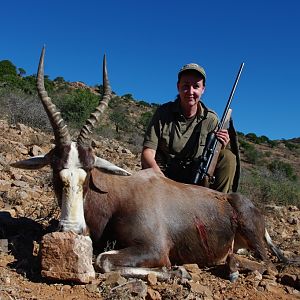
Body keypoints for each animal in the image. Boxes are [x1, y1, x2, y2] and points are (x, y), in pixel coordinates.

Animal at [12, 47, 290, 282]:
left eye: (89, 172)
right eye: (55, 170)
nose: (71, 229)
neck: (119, 195)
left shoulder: (154, 248)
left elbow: (104, 260)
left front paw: (179, 272)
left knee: (267, 264)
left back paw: (231, 270)